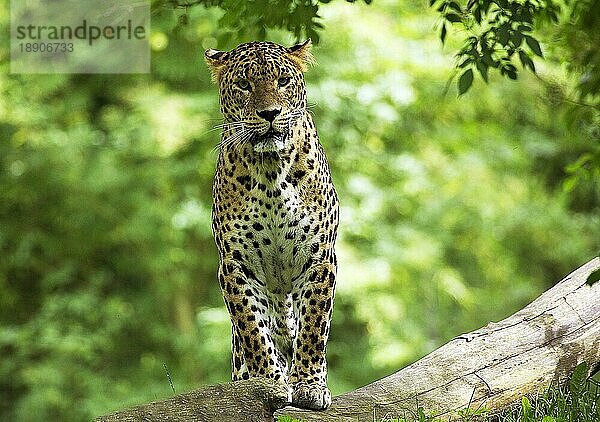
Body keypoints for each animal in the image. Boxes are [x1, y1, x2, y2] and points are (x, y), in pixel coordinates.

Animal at [205, 39, 338, 408]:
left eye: (283, 81)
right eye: (244, 84)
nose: (269, 114)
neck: (270, 172)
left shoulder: (318, 257)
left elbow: (313, 326)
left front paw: (309, 385)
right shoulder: (236, 265)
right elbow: (252, 327)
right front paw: (269, 383)